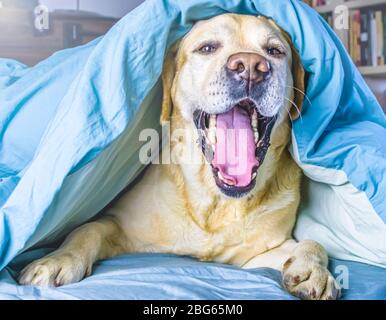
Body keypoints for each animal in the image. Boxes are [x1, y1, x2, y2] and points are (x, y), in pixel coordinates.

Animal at [18, 14, 340, 300]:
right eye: (207, 48)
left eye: (274, 51)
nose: (250, 66)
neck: (216, 203)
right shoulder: (123, 228)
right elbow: (89, 228)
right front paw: (57, 259)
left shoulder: (255, 256)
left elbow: (312, 242)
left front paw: (313, 270)